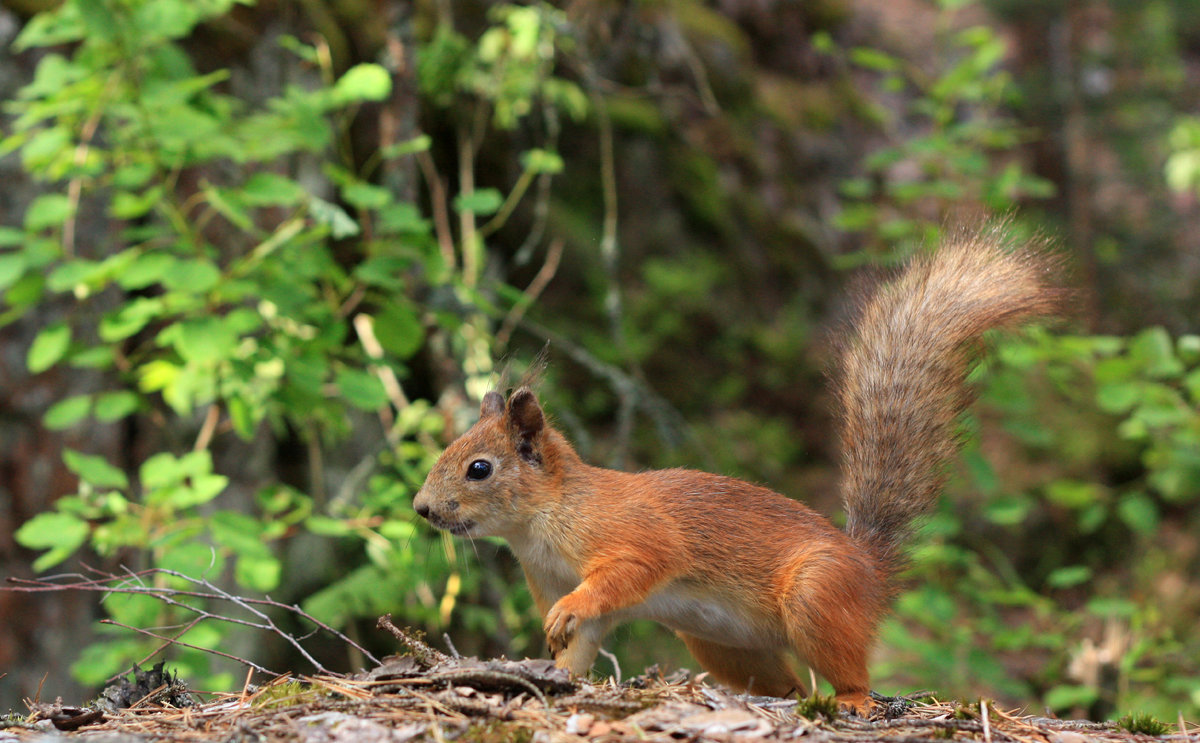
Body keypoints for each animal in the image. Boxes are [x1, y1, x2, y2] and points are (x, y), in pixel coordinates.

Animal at [412, 229, 1060, 710]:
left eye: (478, 468)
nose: (421, 509)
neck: (542, 522)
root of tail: (869, 570)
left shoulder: (633, 536)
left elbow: (630, 571)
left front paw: (566, 614)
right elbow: (580, 646)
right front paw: (555, 677)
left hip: (816, 597)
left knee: (851, 672)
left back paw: (851, 700)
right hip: (722, 646)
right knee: (790, 683)